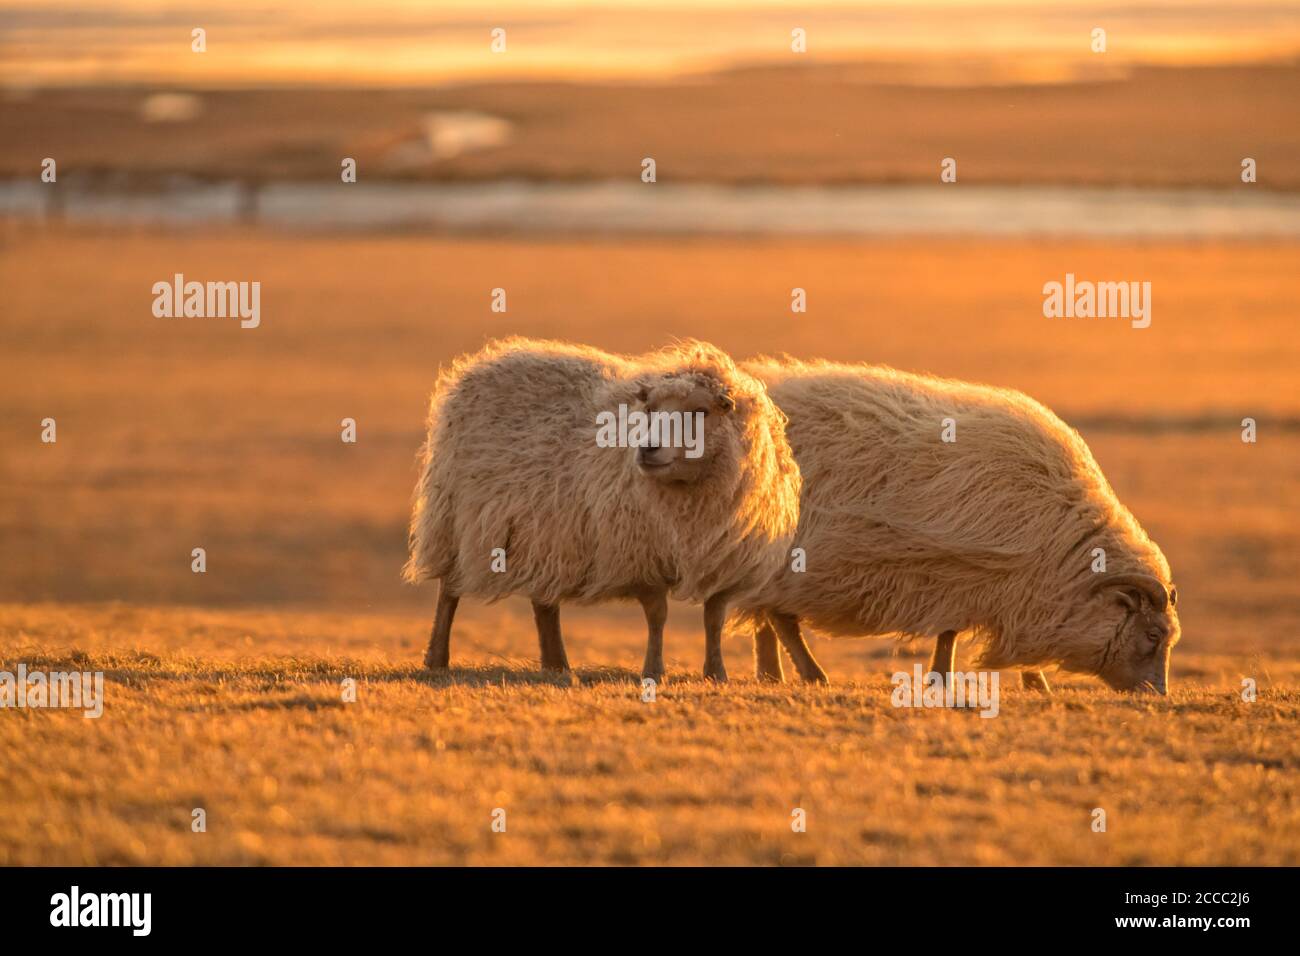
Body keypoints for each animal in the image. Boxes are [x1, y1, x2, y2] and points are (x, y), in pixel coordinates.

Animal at [403, 335, 800, 681]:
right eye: (650, 409)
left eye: (700, 412)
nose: (648, 448)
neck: (688, 497)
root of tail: (479, 364)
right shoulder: (642, 557)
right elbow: (657, 616)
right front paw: (653, 670)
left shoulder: (723, 560)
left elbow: (713, 618)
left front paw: (716, 673)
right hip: (455, 521)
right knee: (449, 591)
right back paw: (437, 658)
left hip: (544, 533)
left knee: (543, 601)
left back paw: (557, 664)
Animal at [743, 358, 1180, 697]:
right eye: (1153, 636)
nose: (1157, 695)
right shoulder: (964, 577)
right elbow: (950, 633)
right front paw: (942, 678)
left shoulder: (1013, 591)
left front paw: (1034, 683)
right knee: (781, 619)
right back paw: (810, 674)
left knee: (769, 618)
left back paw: (771, 675)